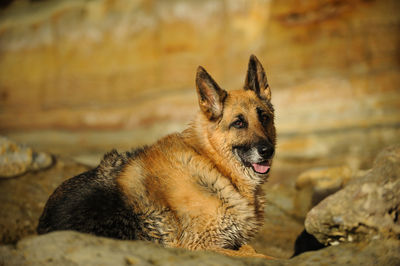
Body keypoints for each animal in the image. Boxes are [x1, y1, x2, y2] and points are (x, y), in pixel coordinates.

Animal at [36, 54, 276, 260]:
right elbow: (262, 255)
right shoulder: (201, 245)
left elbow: (252, 249)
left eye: (264, 117)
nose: (267, 151)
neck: (212, 164)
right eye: (239, 123)